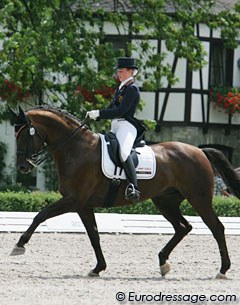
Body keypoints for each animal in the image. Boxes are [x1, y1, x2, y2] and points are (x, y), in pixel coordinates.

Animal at [9, 106, 240, 278]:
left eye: (24, 135)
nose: (22, 167)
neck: (77, 148)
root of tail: (200, 150)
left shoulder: (73, 200)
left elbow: (40, 215)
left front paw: (19, 245)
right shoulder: (83, 205)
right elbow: (94, 235)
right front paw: (98, 268)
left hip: (199, 199)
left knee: (216, 228)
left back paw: (222, 270)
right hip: (165, 202)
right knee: (183, 227)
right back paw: (163, 263)